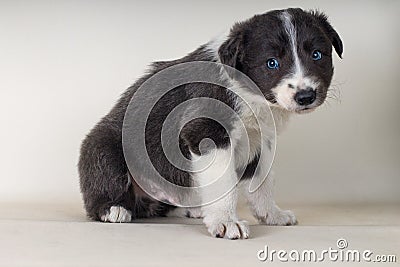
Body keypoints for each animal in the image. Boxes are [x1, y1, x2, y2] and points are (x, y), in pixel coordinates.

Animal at [79, 7, 342, 241]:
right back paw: (113, 209)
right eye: (272, 63)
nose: (305, 96)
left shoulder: (259, 140)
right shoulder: (207, 133)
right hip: (103, 149)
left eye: (317, 55)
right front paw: (226, 222)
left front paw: (272, 214)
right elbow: (224, 183)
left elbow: (262, 180)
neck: (245, 89)